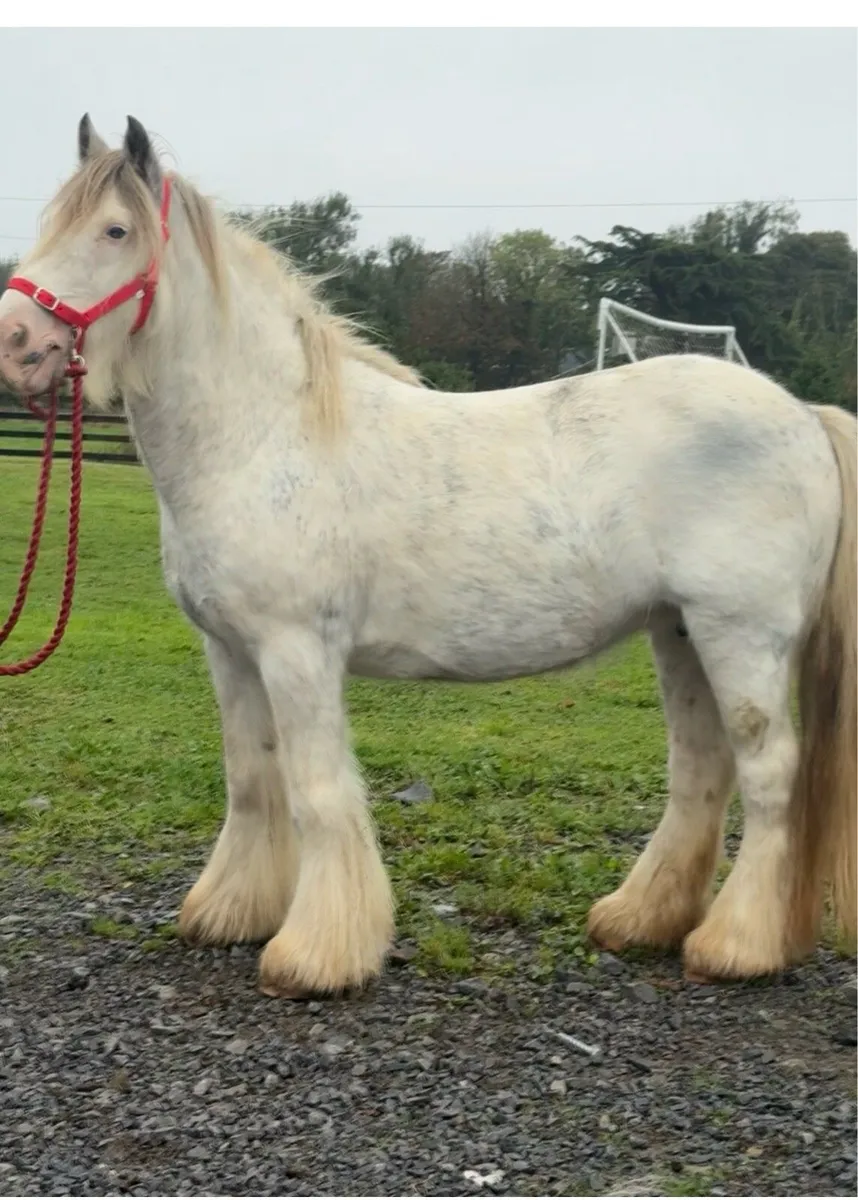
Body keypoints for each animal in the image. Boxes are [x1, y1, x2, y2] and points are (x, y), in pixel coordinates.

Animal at [0, 114, 854, 1000]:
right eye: (50, 223)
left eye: (114, 231)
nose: (15, 341)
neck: (262, 435)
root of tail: (804, 413)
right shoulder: (230, 651)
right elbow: (252, 778)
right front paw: (232, 912)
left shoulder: (297, 651)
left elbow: (317, 792)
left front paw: (317, 955)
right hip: (678, 632)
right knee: (701, 770)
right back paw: (641, 920)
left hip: (741, 636)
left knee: (769, 776)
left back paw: (739, 947)